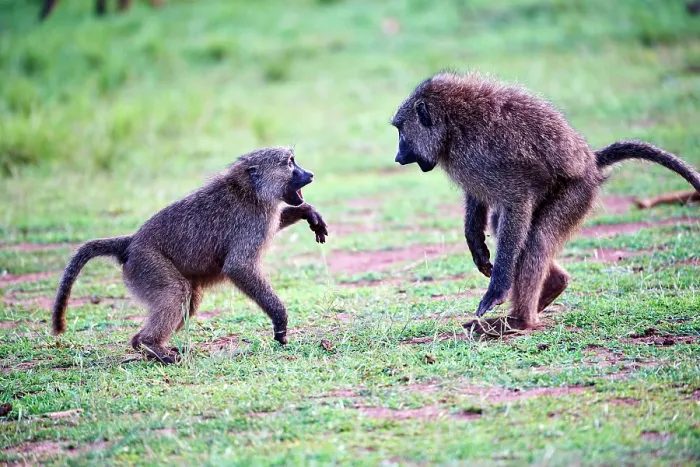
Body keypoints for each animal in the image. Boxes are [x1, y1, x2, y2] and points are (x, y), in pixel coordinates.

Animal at [51, 147, 328, 363]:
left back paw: (148, 347)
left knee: (188, 302)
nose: (310, 174)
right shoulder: (252, 223)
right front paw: (280, 322)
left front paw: (308, 212)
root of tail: (131, 243)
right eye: (290, 163)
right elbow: (238, 267)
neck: (250, 190)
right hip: (147, 263)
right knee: (177, 294)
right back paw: (151, 345)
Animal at [391, 71, 700, 335]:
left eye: (400, 130)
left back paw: (520, 321)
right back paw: (552, 286)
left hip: (577, 192)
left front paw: (497, 289)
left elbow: (517, 203)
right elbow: (478, 199)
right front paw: (476, 245)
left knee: (535, 238)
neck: (453, 127)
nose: (397, 156)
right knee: (511, 228)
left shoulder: (487, 158)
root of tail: (590, 161)